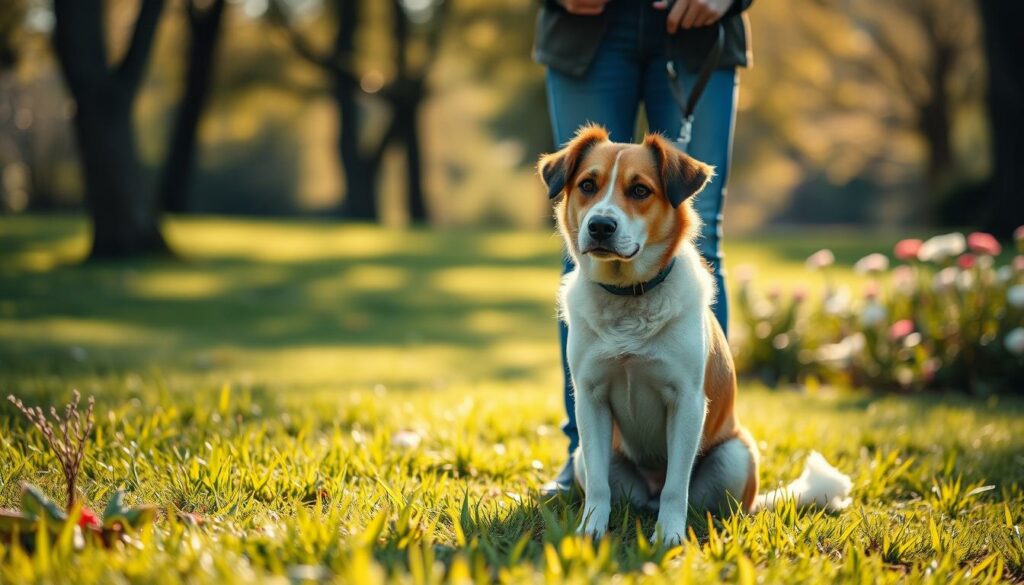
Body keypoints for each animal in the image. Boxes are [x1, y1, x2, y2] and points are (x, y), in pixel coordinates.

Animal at [540, 126, 851, 549]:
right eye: (588, 185)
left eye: (640, 190)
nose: (600, 226)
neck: (629, 297)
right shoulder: (591, 400)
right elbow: (601, 487)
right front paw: (591, 531)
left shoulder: (687, 401)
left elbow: (677, 486)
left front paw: (669, 536)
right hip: (583, 461)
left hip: (735, 456)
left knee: (706, 502)